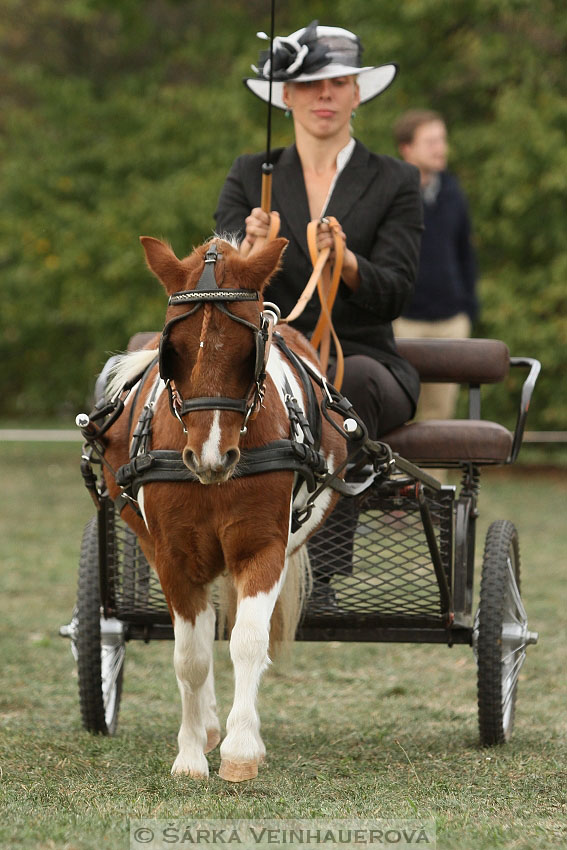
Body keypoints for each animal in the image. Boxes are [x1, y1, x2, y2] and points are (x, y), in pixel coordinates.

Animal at [103, 235, 348, 780]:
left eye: (247, 352)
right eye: (172, 351)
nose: (212, 457)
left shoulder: (262, 548)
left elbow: (247, 641)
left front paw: (241, 750)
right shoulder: (174, 558)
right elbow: (190, 656)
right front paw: (192, 754)